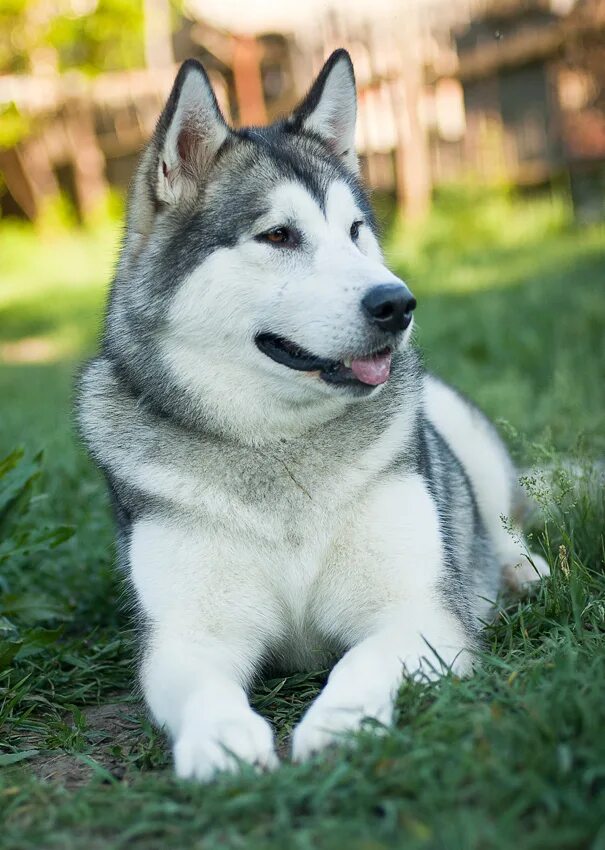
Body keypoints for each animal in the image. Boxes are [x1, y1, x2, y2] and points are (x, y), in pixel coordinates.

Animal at [78, 49, 548, 780]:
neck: (279, 446)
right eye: (278, 235)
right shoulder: (185, 636)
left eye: (354, 232)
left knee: (500, 519)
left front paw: (340, 723)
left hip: (455, 422)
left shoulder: (418, 611)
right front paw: (219, 743)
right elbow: (204, 688)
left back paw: (520, 569)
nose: (397, 304)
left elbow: (360, 661)